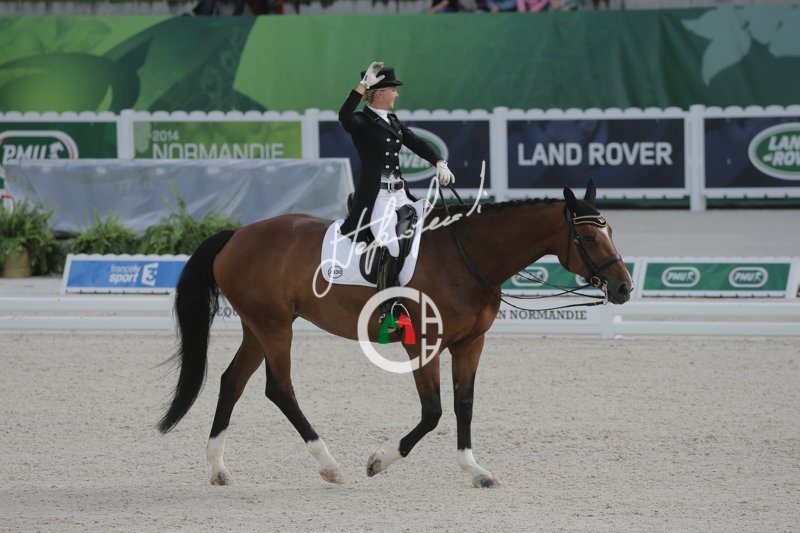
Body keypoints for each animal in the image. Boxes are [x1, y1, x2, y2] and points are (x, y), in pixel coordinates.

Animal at [157, 180, 632, 488]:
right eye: (590, 236)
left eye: (611, 230)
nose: (624, 288)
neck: (468, 255)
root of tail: (237, 234)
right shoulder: (422, 344)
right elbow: (433, 412)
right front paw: (378, 462)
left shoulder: (470, 343)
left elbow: (463, 405)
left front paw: (474, 469)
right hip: (274, 327)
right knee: (279, 388)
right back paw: (330, 466)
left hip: (259, 326)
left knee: (232, 382)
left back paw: (218, 469)